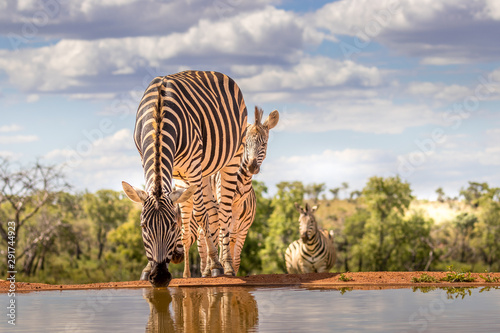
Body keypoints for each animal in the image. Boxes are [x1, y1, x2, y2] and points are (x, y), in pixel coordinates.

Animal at [121, 70, 246, 286]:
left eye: (171, 226)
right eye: (143, 226)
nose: (160, 278)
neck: (158, 114)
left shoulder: (193, 166)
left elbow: (200, 215)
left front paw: (216, 264)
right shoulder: (151, 161)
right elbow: (185, 212)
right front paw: (149, 267)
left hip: (232, 158)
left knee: (223, 212)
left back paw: (227, 265)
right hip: (202, 172)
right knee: (212, 212)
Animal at [181, 105, 280, 274]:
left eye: (264, 144)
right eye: (245, 144)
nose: (252, 166)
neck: (242, 181)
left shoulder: (237, 208)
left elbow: (229, 237)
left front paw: (226, 266)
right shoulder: (223, 201)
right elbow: (222, 234)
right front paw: (221, 265)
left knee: (206, 234)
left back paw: (208, 268)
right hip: (189, 204)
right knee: (189, 236)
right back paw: (190, 273)